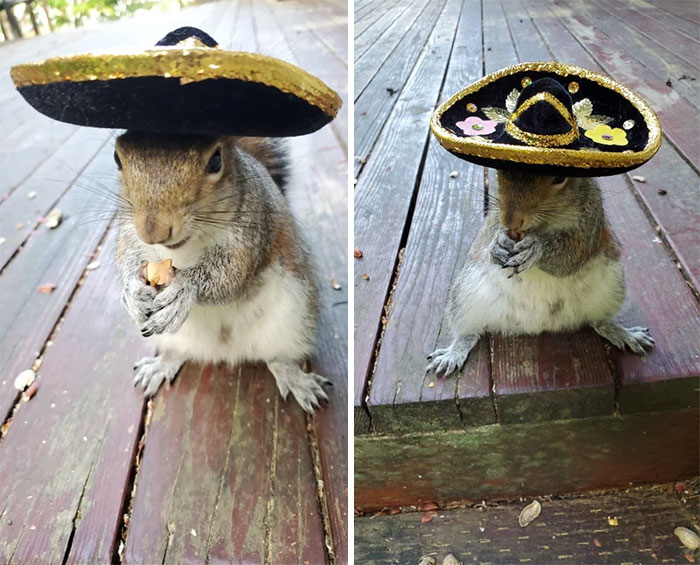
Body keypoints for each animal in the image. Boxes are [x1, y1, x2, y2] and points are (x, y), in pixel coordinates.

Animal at [114, 131, 330, 412]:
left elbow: (232, 273)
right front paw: (132, 292)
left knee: (278, 358)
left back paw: (295, 378)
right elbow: (125, 255)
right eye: (117, 158)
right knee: (179, 352)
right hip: (173, 337)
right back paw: (161, 365)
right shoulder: (128, 230)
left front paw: (184, 289)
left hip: (294, 320)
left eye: (216, 160)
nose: (153, 231)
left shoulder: (252, 231)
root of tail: (226, 352)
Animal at [427, 171, 654, 375]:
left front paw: (536, 248)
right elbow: (491, 231)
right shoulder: (495, 216)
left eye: (560, 177)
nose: (511, 219)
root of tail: (539, 324)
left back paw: (622, 333)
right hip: (466, 295)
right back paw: (454, 352)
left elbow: (570, 255)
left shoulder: (590, 220)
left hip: (610, 287)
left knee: (599, 321)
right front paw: (495, 245)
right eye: (499, 173)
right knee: (469, 332)